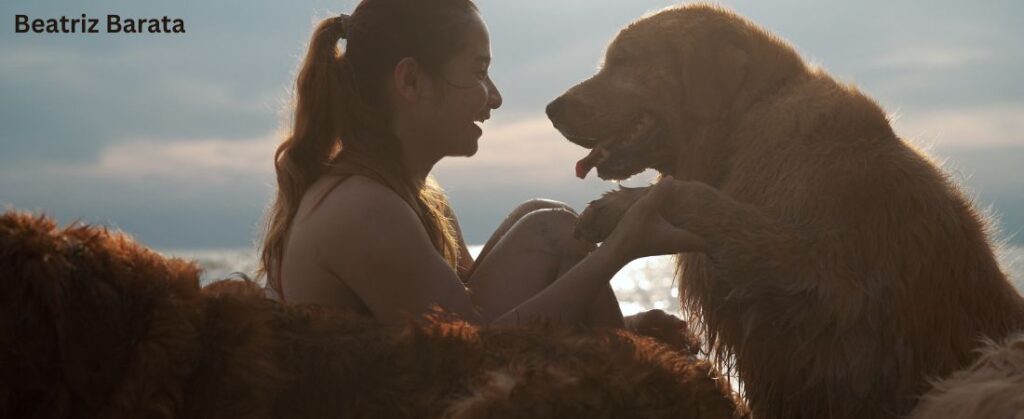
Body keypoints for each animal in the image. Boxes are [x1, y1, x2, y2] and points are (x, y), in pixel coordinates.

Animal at [548, 4, 1024, 417]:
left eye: (624, 60)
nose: (552, 110)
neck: (744, 123)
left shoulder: (825, 282)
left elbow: (694, 195)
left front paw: (625, 207)